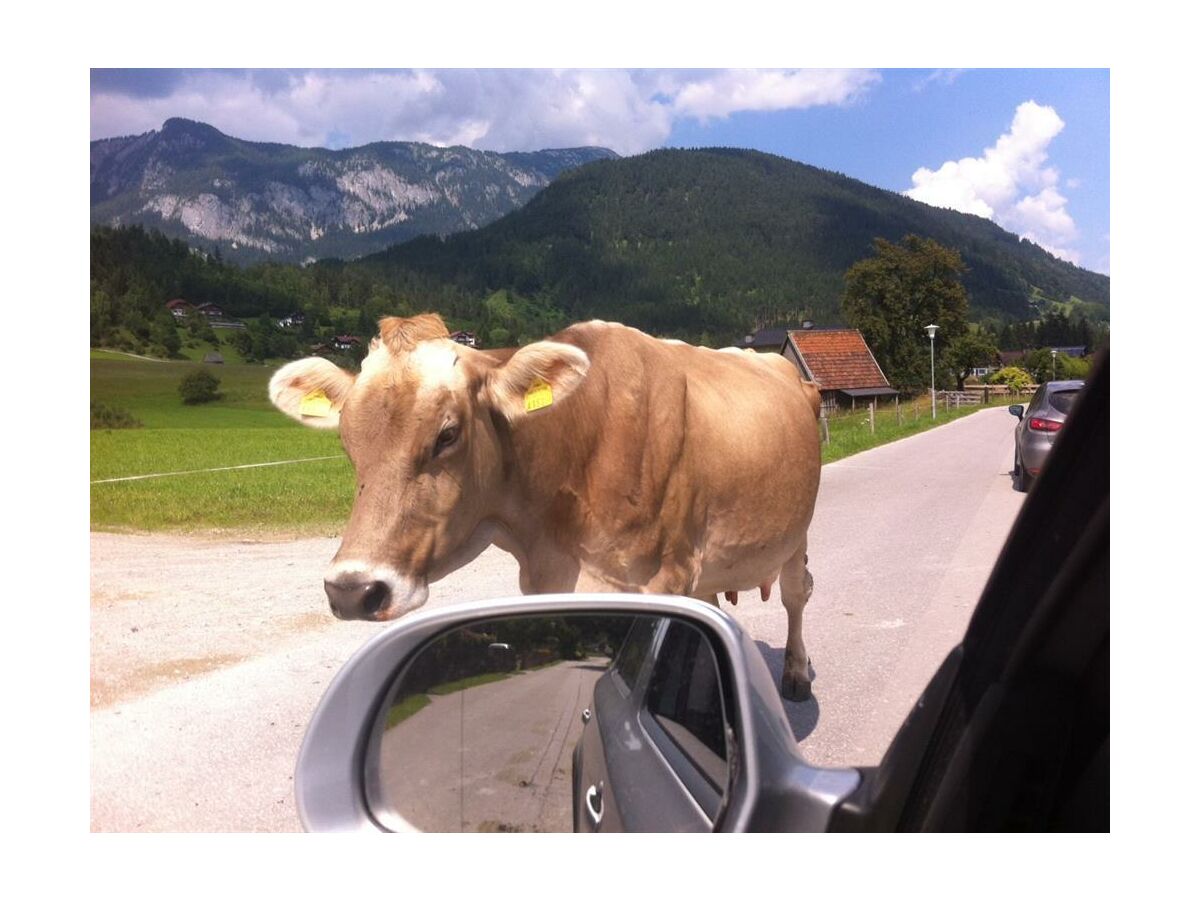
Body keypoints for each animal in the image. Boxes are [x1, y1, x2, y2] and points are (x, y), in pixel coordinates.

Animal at [267, 314, 820, 700]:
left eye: (447, 434)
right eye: (347, 439)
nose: (352, 590)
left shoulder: (666, 576)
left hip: (796, 534)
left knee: (797, 594)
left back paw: (795, 673)